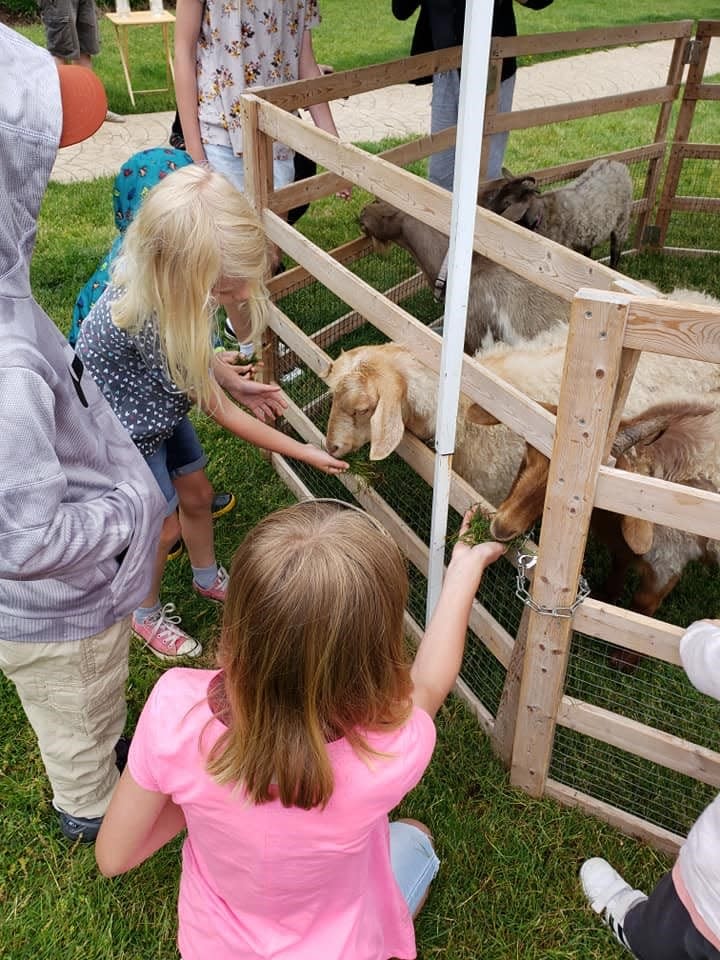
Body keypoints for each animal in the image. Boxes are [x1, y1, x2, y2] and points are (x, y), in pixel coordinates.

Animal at [470, 402, 720, 672]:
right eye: (526, 457)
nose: (501, 528)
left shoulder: (669, 560)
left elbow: (643, 605)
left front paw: (625, 658)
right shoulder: (623, 548)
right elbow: (619, 563)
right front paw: (606, 594)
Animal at [480, 159, 632, 268]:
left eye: (507, 202)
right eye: (500, 191)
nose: (487, 208)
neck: (542, 214)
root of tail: (617, 163)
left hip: (622, 223)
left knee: (615, 252)